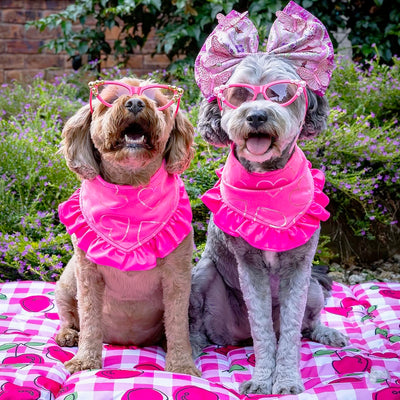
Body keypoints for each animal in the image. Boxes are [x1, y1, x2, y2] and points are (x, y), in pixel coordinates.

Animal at [189, 54, 348, 396]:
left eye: (279, 93)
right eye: (239, 95)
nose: (257, 116)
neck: (268, 185)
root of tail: (238, 338)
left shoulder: (299, 267)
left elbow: (290, 332)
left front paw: (286, 380)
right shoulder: (250, 266)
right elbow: (262, 329)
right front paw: (263, 379)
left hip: (313, 288)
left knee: (308, 325)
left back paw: (327, 333)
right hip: (202, 273)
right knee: (198, 325)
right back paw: (191, 347)